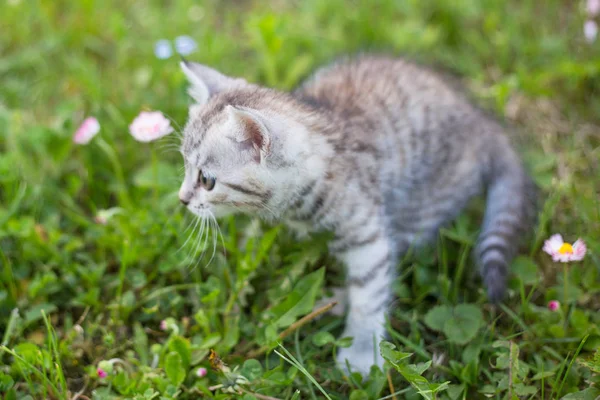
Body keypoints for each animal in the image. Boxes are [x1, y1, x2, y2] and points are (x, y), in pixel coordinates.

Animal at [176, 55, 536, 376]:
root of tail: (483, 122)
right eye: (185, 165)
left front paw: (362, 353)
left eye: (206, 180)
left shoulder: (369, 237)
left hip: (422, 205)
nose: (182, 199)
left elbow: (369, 294)